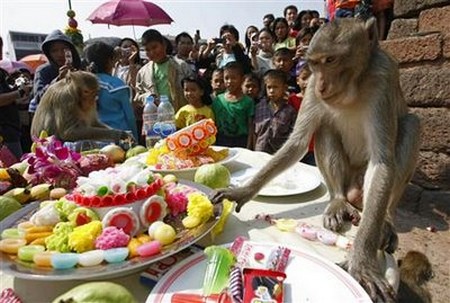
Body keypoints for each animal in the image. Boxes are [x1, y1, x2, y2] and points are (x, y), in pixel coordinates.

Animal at [210, 17, 418, 303]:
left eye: (331, 60)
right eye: (315, 64)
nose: (321, 85)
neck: (353, 88)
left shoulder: (384, 76)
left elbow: (382, 162)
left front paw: (361, 260)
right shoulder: (310, 90)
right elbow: (297, 142)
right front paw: (243, 191)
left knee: (412, 125)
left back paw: (384, 220)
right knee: (324, 129)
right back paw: (338, 201)